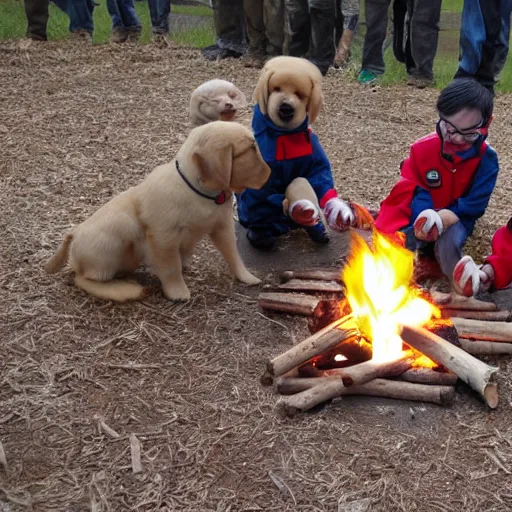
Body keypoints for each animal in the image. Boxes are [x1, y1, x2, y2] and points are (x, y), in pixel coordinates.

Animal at [45, 122, 272, 302]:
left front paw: (246, 276)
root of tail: (74, 234)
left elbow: (233, 255)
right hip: (119, 230)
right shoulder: (164, 237)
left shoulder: (222, 228)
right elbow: (171, 268)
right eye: (252, 148)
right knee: (82, 278)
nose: (270, 172)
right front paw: (178, 292)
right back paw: (124, 289)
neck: (198, 192)